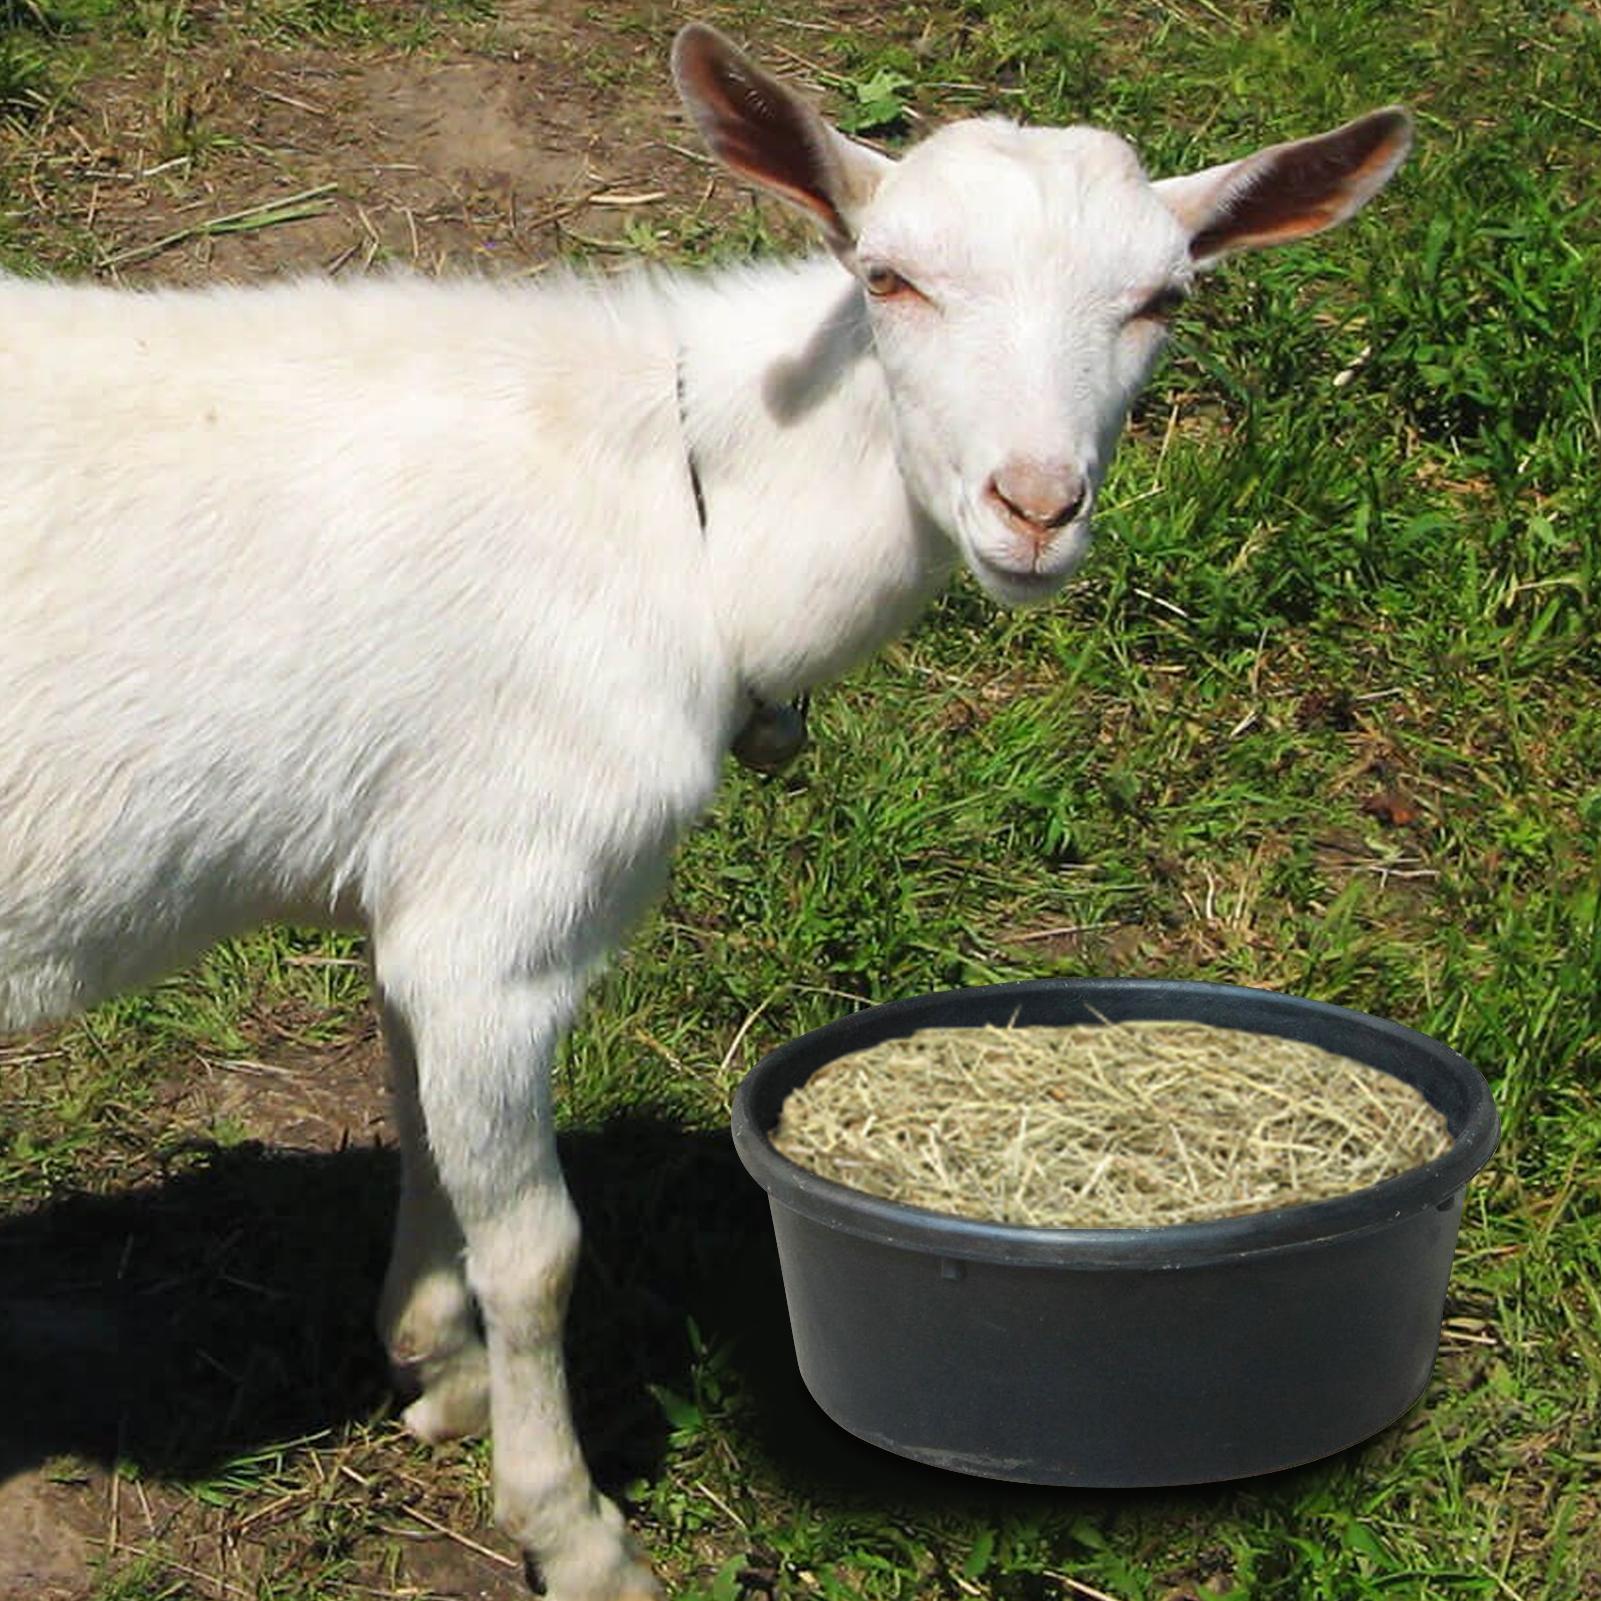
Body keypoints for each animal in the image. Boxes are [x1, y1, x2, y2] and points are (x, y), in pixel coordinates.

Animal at [0, 22, 1411, 1600]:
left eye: (1163, 297)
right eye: (887, 277)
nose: (1035, 508)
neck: (691, 514)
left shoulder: (432, 878)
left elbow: (422, 1117)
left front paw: (434, 1363)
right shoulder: (513, 897)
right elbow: (538, 1245)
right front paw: (572, 1528)